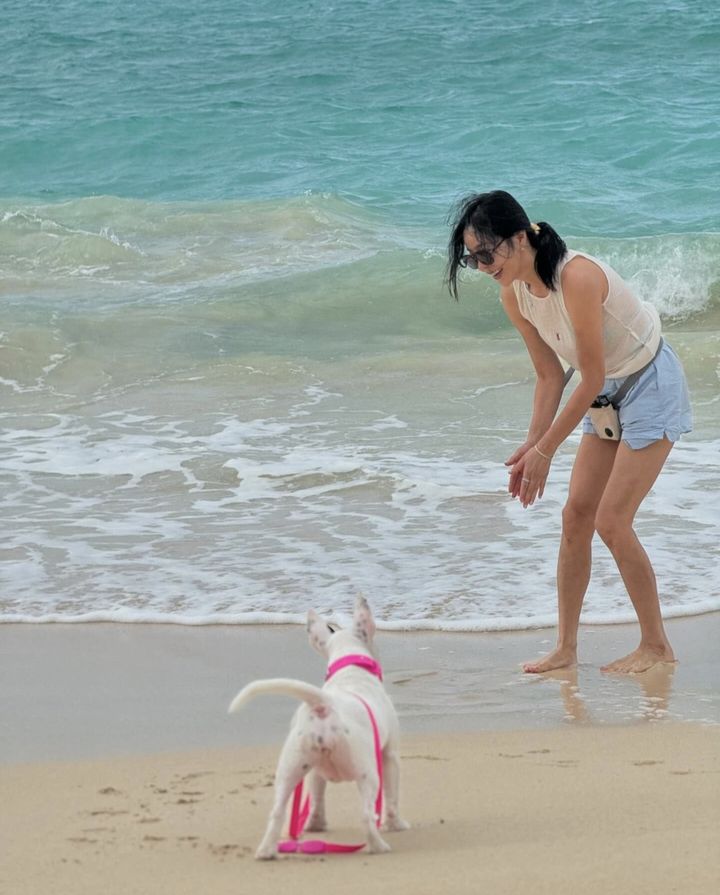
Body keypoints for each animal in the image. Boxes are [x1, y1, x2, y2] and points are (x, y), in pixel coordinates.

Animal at [231, 600, 410, 856]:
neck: (350, 671)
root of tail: (323, 705)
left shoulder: (315, 771)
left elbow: (316, 797)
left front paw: (316, 824)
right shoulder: (390, 756)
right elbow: (392, 796)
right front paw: (396, 825)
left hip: (291, 768)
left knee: (277, 812)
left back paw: (267, 851)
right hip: (367, 773)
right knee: (366, 816)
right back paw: (378, 846)